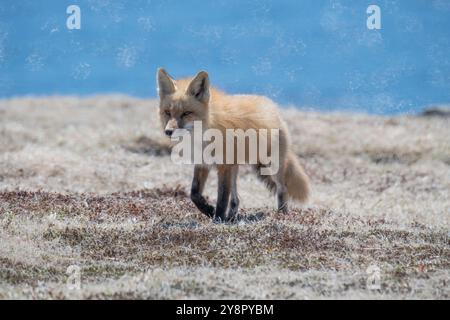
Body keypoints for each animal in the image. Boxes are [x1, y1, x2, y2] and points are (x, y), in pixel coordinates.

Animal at [156, 68, 310, 221]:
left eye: (186, 113)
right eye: (167, 112)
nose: (168, 131)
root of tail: (274, 107)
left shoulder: (224, 166)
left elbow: (222, 198)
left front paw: (218, 219)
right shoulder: (203, 162)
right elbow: (194, 193)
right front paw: (208, 210)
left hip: (271, 167)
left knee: (283, 189)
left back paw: (281, 215)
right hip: (236, 168)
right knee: (236, 199)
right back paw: (231, 217)